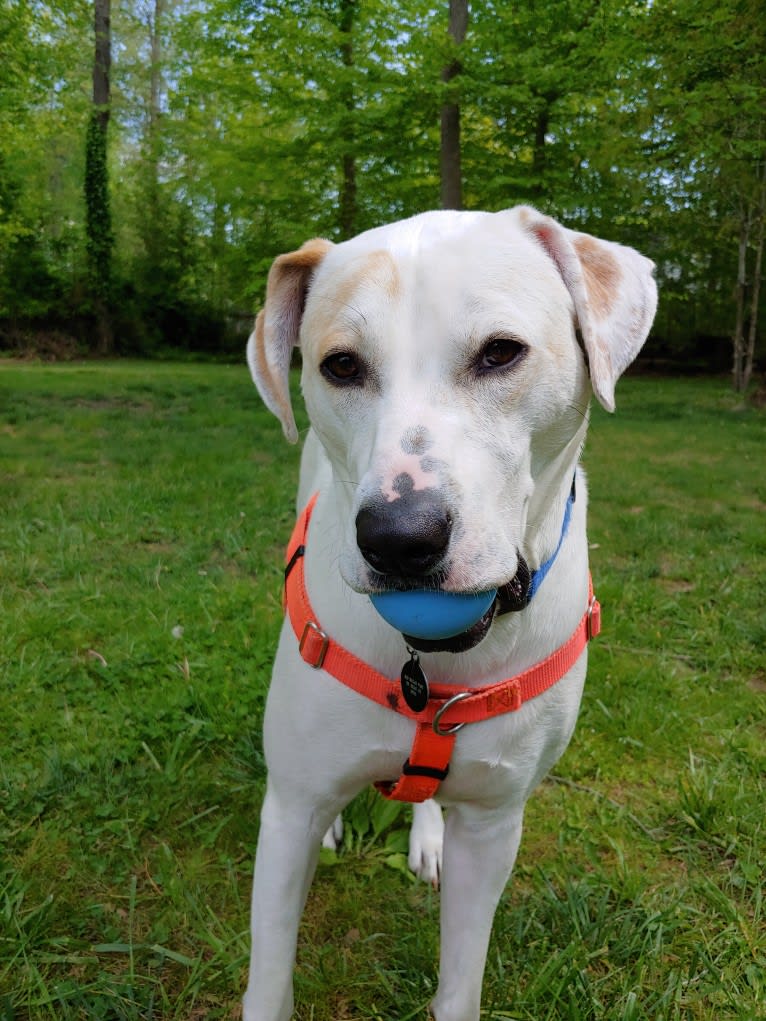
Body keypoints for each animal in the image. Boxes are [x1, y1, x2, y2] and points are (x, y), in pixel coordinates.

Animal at [243, 207, 657, 1021]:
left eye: (500, 353)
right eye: (340, 366)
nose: (400, 538)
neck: (432, 658)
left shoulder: (495, 823)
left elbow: (461, 980)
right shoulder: (288, 811)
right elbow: (268, 984)